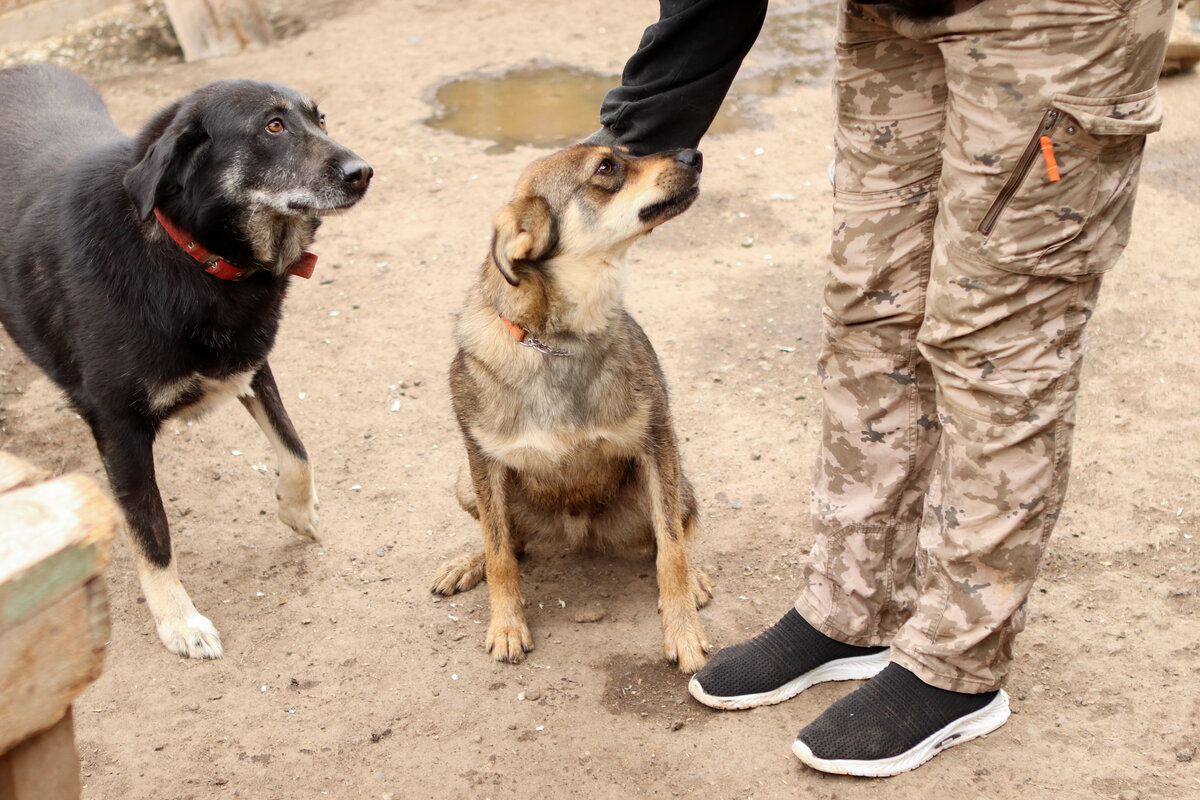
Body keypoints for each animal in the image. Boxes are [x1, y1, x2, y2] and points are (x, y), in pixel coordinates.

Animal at [0, 65, 369, 662]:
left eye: (321, 119)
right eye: (272, 126)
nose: (364, 173)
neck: (189, 254)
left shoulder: (247, 364)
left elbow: (296, 449)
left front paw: (298, 512)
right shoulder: (118, 426)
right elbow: (152, 533)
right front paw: (179, 621)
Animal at [434, 145, 705, 676]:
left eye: (626, 151)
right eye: (606, 167)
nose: (693, 152)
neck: (560, 341)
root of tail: (576, 533)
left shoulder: (658, 441)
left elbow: (671, 552)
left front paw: (682, 629)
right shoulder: (482, 460)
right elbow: (500, 552)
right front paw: (507, 625)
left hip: (679, 485)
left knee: (672, 534)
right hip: (463, 483)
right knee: (510, 542)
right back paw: (467, 563)